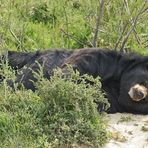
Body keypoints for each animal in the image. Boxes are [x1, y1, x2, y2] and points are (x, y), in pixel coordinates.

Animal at [0, 48, 148, 114]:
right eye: (145, 82)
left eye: (146, 99)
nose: (140, 94)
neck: (119, 83)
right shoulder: (103, 58)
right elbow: (75, 66)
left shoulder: (112, 99)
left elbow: (98, 101)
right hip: (38, 64)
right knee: (20, 82)